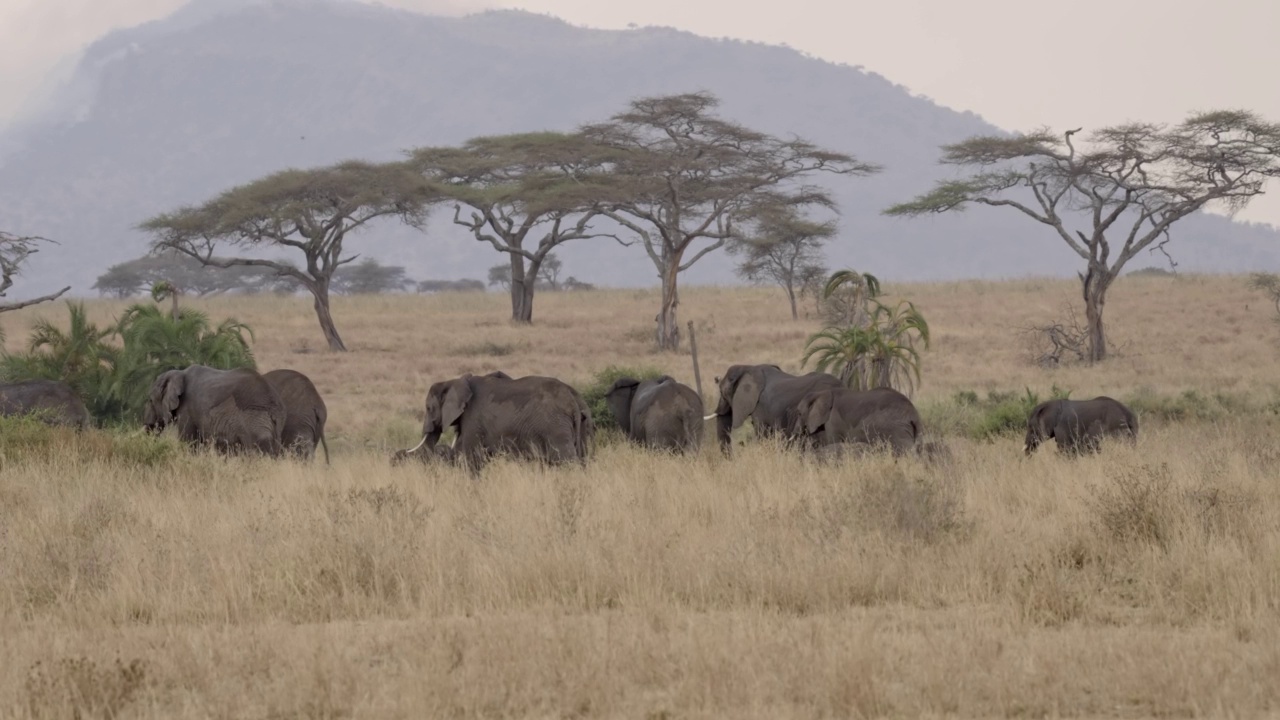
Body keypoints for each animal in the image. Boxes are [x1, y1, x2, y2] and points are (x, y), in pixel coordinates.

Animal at [391, 371, 591, 474]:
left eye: (428, 408)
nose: (396, 455)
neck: (456, 381)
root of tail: (573, 399)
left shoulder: (473, 417)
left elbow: (472, 457)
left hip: (555, 427)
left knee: (566, 460)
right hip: (584, 422)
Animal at [788, 386, 921, 453]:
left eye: (799, 413)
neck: (821, 392)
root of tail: (914, 415)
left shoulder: (832, 420)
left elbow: (832, 441)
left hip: (895, 429)